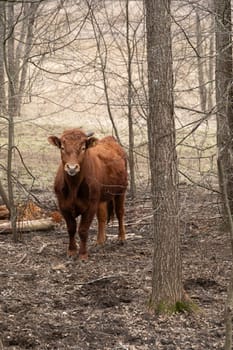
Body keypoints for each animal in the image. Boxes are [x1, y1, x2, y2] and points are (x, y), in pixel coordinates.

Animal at [47, 129, 127, 260]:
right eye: (62, 147)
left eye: (83, 147)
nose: (72, 168)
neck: (73, 187)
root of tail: (110, 139)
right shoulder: (63, 205)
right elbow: (71, 228)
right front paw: (72, 251)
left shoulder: (91, 206)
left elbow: (83, 230)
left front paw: (83, 254)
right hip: (101, 197)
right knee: (102, 216)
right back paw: (100, 241)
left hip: (121, 190)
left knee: (120, 212)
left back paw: (121, 238)